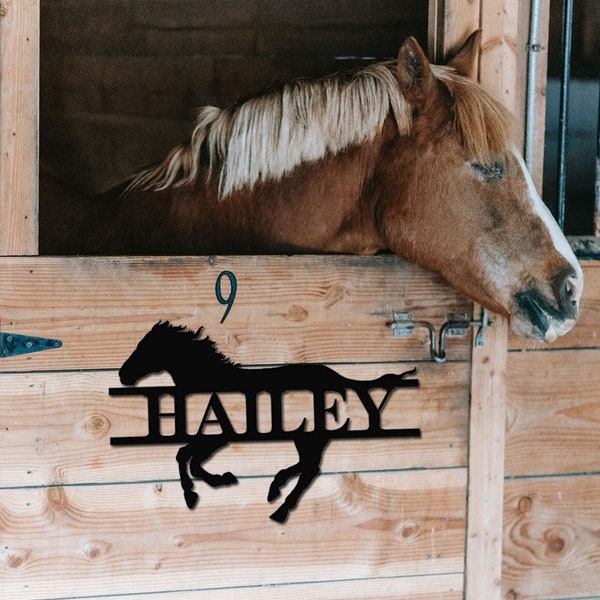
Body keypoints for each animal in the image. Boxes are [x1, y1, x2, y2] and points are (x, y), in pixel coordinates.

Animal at [117, 322, 418, 524]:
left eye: (146, 347)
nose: (122, 374)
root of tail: (337, 378)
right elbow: (189, 459)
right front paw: (218, 481)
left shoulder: (218, 436)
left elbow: (186, 458)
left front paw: (200, 491)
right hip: (306, 436)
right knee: (308, 467)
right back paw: (275, 491)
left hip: (309, 436)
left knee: (309, 469)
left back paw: (279, 506)